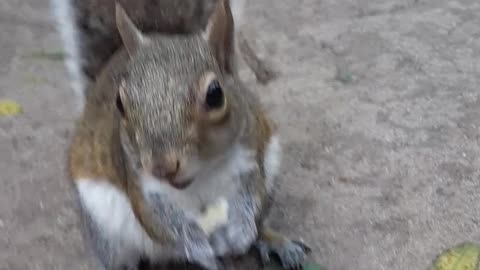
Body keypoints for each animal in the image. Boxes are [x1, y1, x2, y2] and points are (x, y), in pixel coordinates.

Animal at [50, 0, 310, 270]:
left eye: (215, 95)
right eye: (119, 103)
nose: (162, 167)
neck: (202, 174)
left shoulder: (248, 156)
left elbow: (250, 195)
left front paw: (241, 233)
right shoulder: (141, 185)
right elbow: (161, 222)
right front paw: (200, 249)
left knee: (261, 220)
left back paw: (273, 240)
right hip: (105, 231)